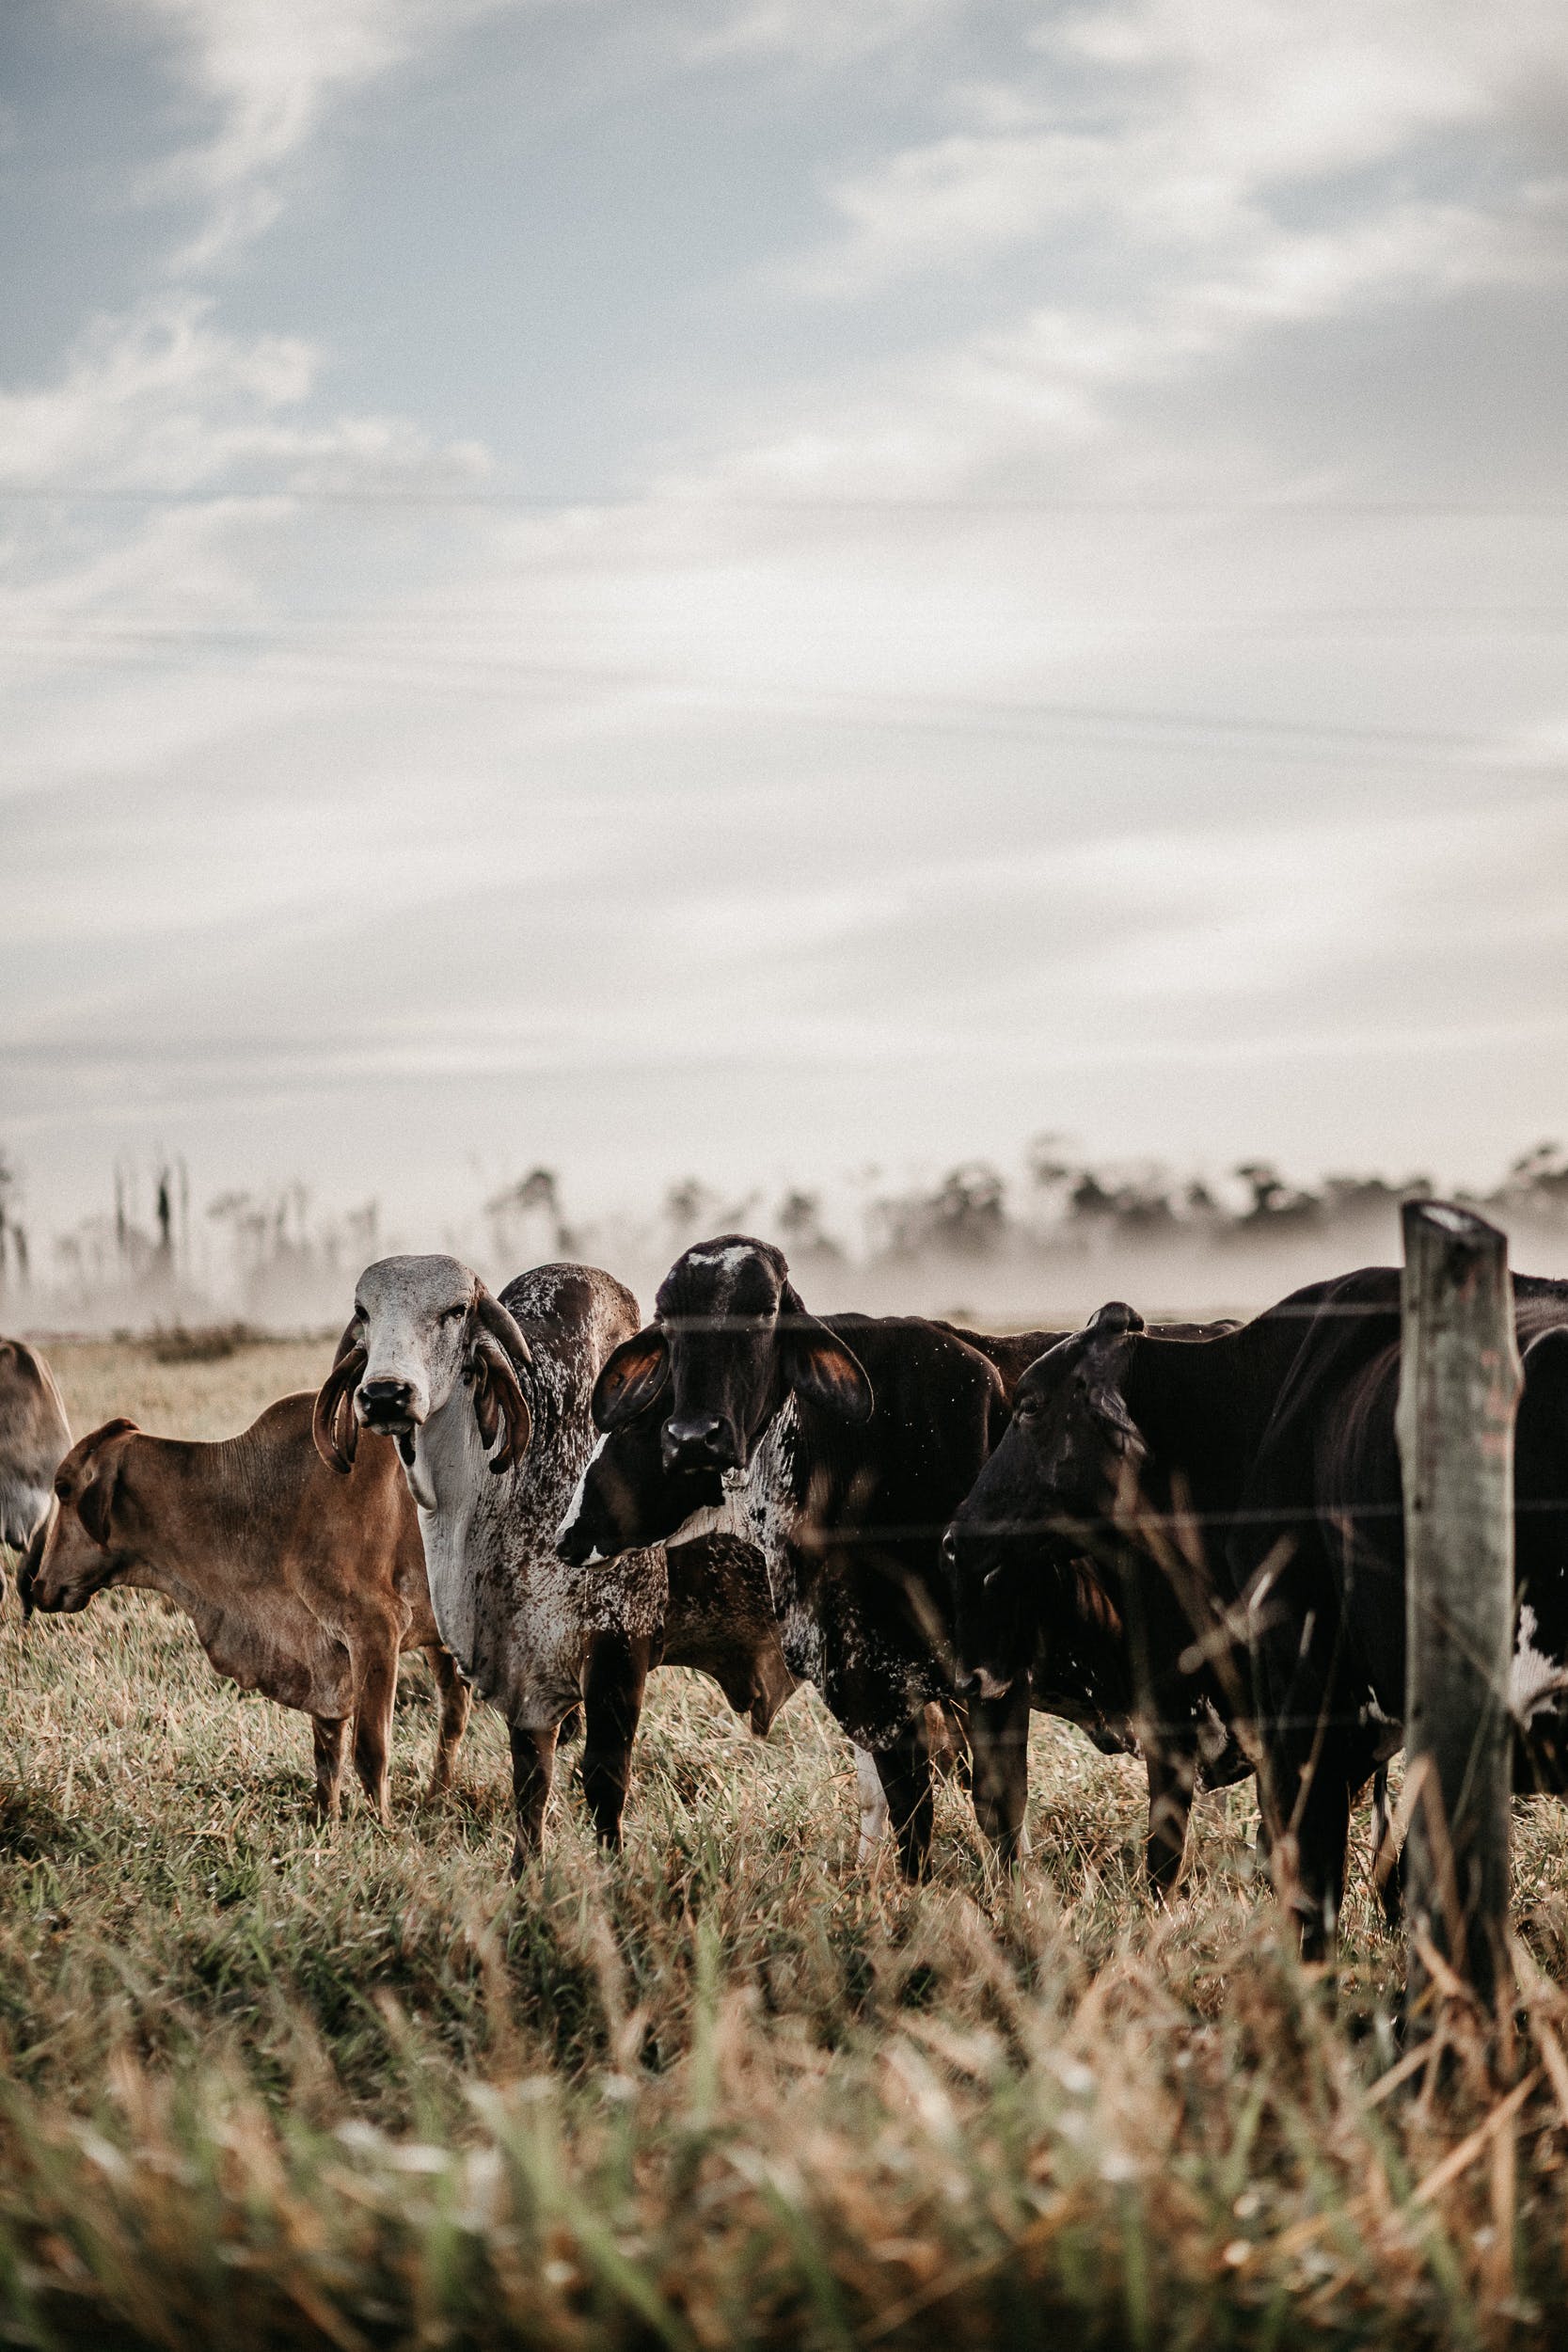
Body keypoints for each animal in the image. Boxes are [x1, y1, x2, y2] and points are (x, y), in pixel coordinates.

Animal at [22, 1393, 470, 1820]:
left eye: (63, 1488)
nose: (39, 1585)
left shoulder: (375, 1629)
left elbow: (370, 1750)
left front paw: (384, 1830)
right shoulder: (323, 1654)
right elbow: (327, 1755)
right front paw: (328, 1822)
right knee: (453, 1714)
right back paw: (438, 1799)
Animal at [557, 1234, 1030, 1879]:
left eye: (765, 1313)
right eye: (668, 1320)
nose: (692, 1436)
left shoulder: (974, 1682)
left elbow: (983, 1809)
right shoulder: (870, 1676)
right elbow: (903, 1803)